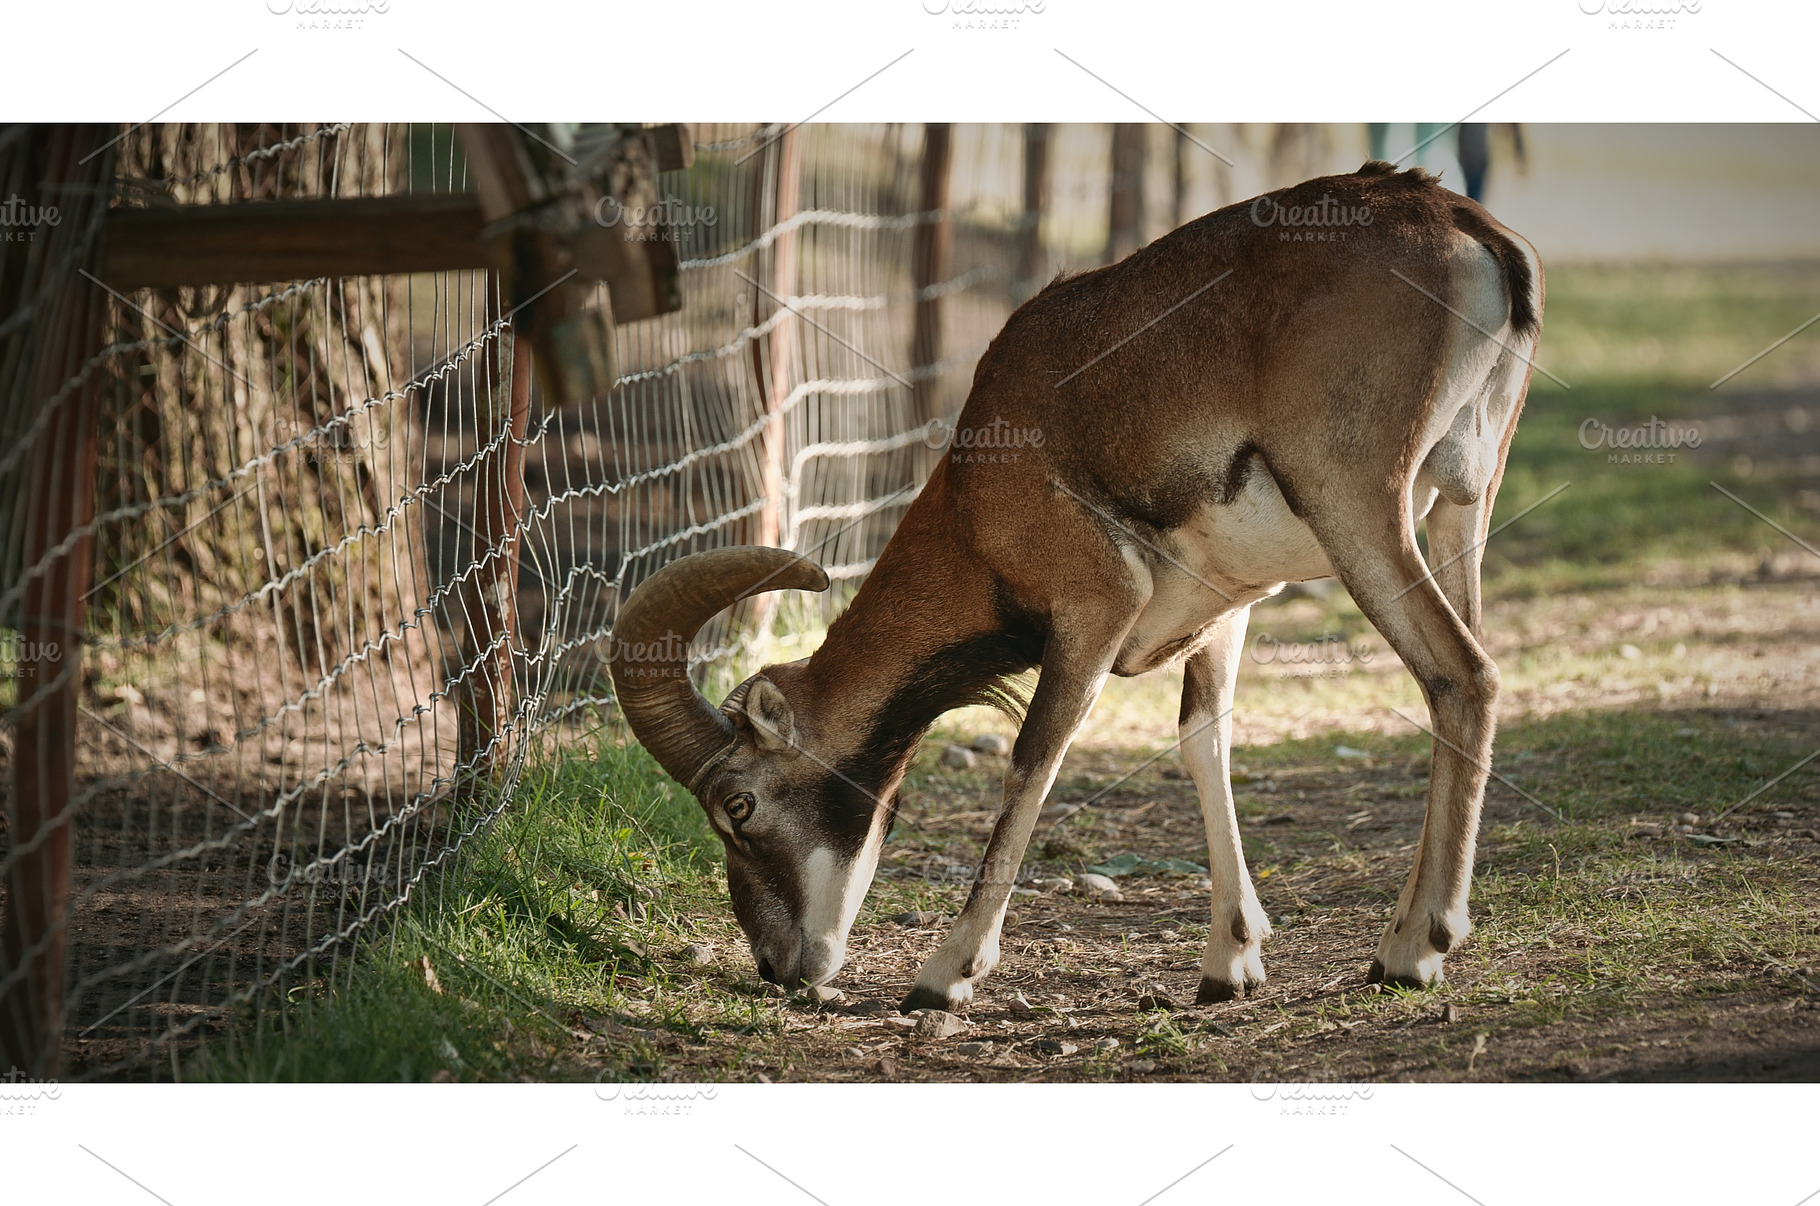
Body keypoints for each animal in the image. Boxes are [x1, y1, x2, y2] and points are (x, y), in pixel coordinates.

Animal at [609, 161, 1541, 1012]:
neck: (982, 491)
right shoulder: (1227, 613)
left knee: (1464, 676)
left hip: (1361, 513)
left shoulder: (1094, 613)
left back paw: (1413, 948)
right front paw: (1228, 963)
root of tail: (1474, 237)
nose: (777, 966)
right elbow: (1204, 742)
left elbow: (1032, 759)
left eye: (738, 804)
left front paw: (945, 975)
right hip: (1463, 509)